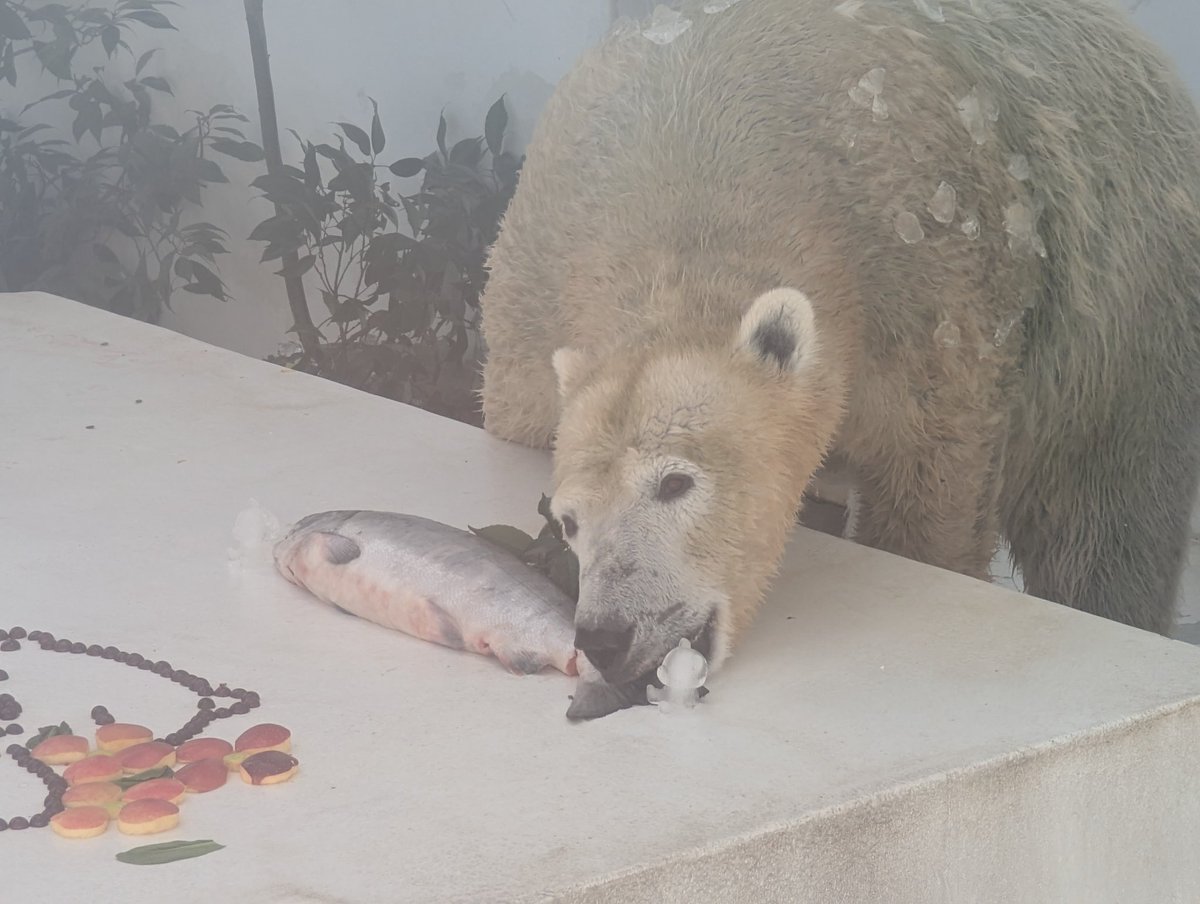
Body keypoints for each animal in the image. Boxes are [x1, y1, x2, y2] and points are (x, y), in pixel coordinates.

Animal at [477, 0, 1200, 687]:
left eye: (675, 482)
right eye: (569, 518)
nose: (608, 635)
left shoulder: (926, 272)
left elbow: (928, 484)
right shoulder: (532, 289)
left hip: (1126, 315)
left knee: (1105, 522)